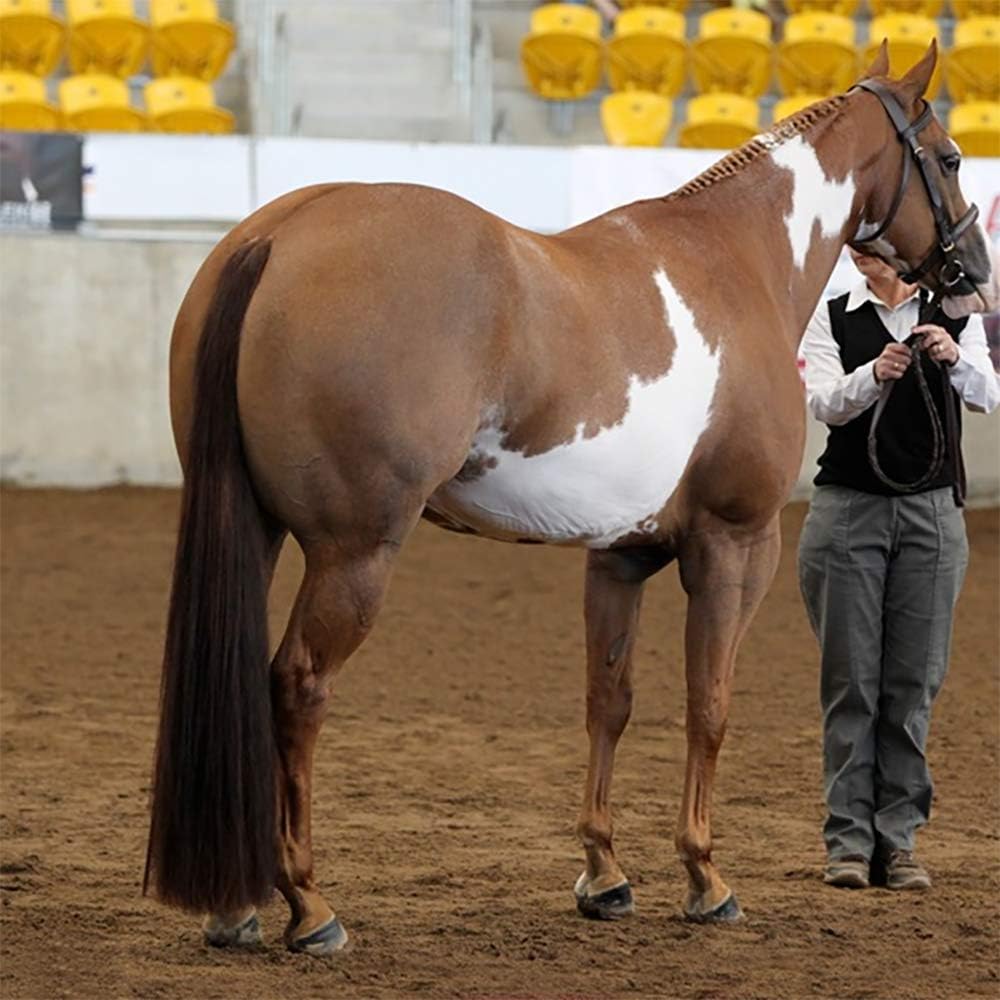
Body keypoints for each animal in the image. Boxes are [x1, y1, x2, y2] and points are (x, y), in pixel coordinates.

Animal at [144, 44, 996, 955]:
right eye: (950, 158)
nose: (975, 276)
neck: (737, 260)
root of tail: (276, 236)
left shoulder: (618, 555)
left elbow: (608, 703)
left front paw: (604, 874)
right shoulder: (735, 545)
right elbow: (709, 705)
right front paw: (706, 879)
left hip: (254, 525)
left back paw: (235, 910)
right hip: (355, 551)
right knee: (297, 687)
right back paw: (308, 906)